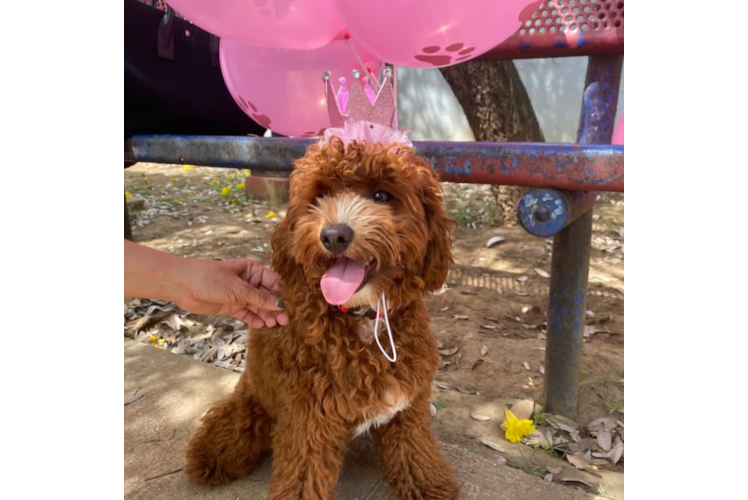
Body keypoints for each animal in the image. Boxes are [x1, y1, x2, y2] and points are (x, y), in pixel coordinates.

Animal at [184, 137, 458, 500]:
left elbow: (414, 449)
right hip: (250, 409)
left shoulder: (407, 406)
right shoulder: (309, 418)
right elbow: (304, 477)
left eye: (381, 195)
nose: (334, 236)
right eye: (320, 195)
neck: (361, 316)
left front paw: (429, 484)